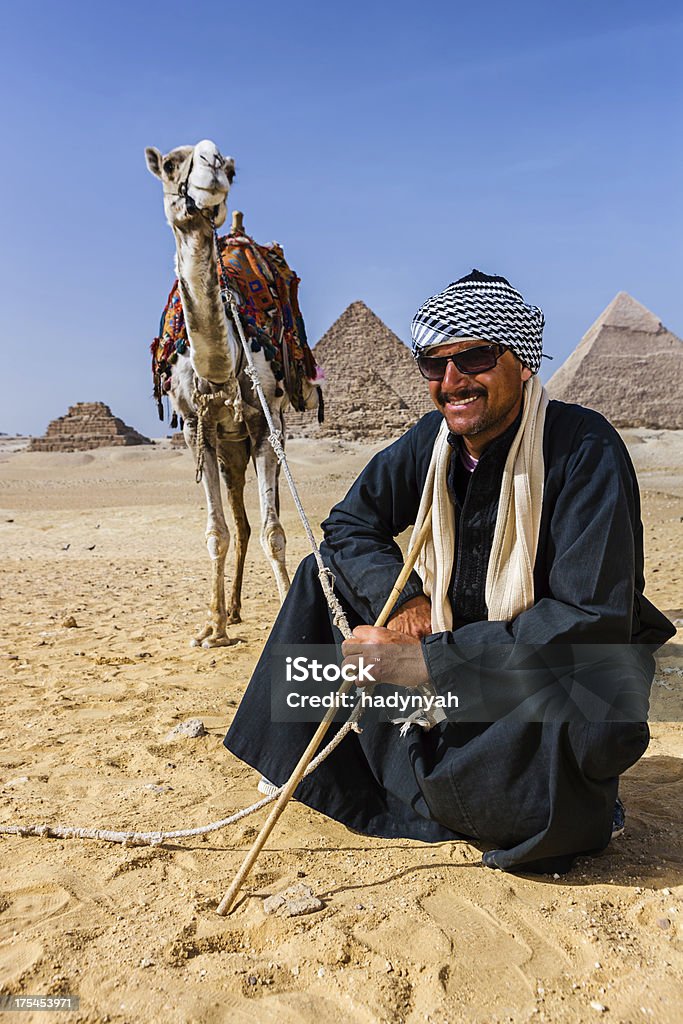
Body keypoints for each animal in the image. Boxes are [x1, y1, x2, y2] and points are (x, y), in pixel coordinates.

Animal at [145, 140, 321, 643]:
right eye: (171, 164)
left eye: (230, 167)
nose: (212, 169)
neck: (221, 369)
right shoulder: (194, 429)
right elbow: (216, 531)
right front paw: (213, 626)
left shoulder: (266, 424)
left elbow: (274, 531)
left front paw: (285, 609)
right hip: (228, 451)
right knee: (238, 524)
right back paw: (234, 610)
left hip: (257, 440)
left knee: (256, 520)